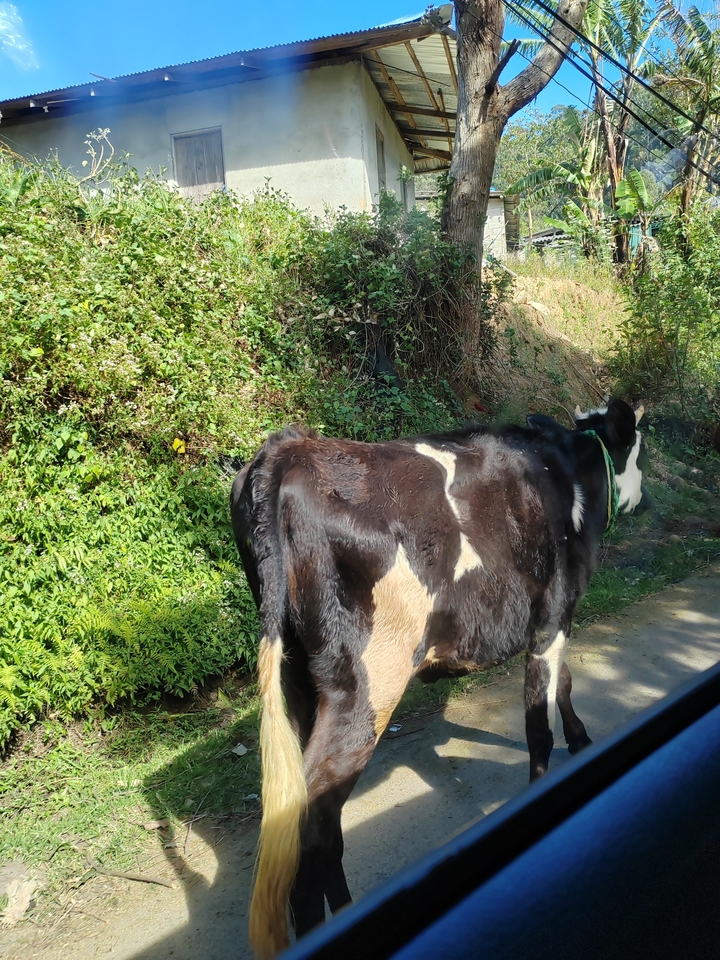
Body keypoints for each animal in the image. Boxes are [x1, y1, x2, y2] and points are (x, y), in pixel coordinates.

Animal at [230, 399, 649, 960]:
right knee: (310, 825)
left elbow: (562, 684)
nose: (646, 498)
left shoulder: (552, 620)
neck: (569, 473)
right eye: (639, 448)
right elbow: (537, 724)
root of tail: (289, 450)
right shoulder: (553, 613)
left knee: (322, 821)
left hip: (300, 681)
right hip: (366, 685)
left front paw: (581, 738)